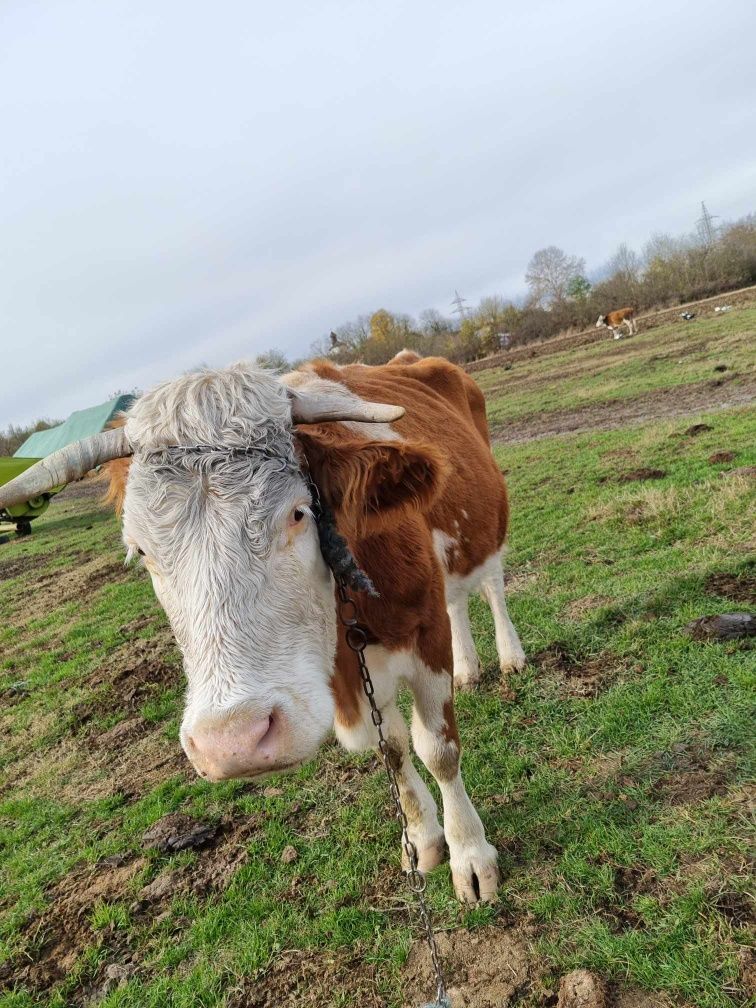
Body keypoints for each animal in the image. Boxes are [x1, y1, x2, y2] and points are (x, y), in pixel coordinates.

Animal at [0, 352, 528, 899]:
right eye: (140, 550)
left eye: (299, 513)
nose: (232, 742)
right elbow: (394, 750)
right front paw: (423, 841)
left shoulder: (425, 635)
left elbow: (438, 749)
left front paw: (469, 854)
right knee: (459, 601)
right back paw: (469, 669)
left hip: (488, 524)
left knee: (491, 586)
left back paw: (510, 657)